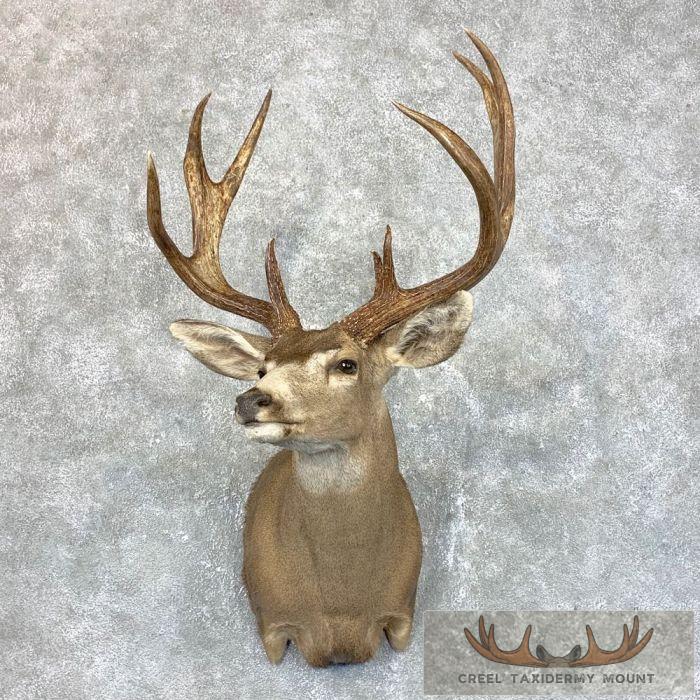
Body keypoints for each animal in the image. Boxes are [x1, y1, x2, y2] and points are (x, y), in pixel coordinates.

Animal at [145, 31, 514, 667]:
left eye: (347, 364)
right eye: (262, 366)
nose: (252, 399)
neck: (341, 606)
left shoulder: (401, 616)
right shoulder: (274, 627)